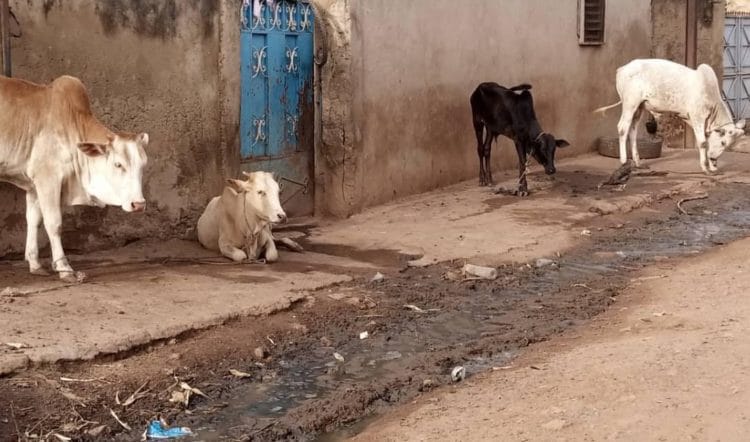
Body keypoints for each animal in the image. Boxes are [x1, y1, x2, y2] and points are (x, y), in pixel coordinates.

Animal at [0, 75, 150, 284]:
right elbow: (54, 223)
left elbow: (33, 220)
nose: (139, 204)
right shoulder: (48, 178)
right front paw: (64, 268)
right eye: (118, 164)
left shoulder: (34, 185)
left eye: (144, 164)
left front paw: (35, 264)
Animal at [596, 59, 748, 174]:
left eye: (728, 145)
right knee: (622, 128)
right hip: (630, 103)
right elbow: (703, 142)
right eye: (723, 142)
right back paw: (623, 161)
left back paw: (638, 162)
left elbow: (707, 141)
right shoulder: (697, 117)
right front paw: (705, 168)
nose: (714, 159)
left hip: (639, 107)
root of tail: (621, 69)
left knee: (632, 131)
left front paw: (712, 167)